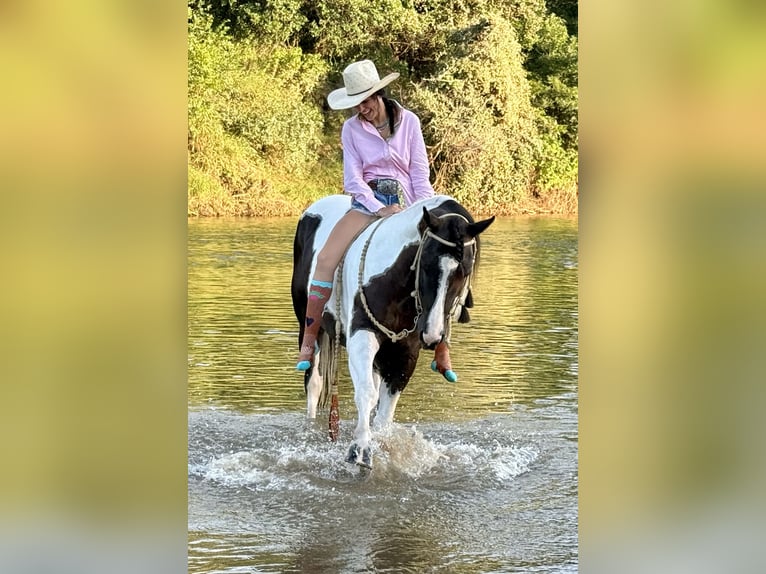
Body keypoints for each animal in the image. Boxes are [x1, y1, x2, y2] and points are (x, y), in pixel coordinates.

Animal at [291, 194, 495, 469]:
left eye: (464, 271)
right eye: (426, 265)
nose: (433, 335)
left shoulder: (405, 352)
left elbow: (385, 412)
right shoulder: (361, 336)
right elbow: (365, 393)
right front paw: (360, 449)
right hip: (311, 330)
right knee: (313, 383)